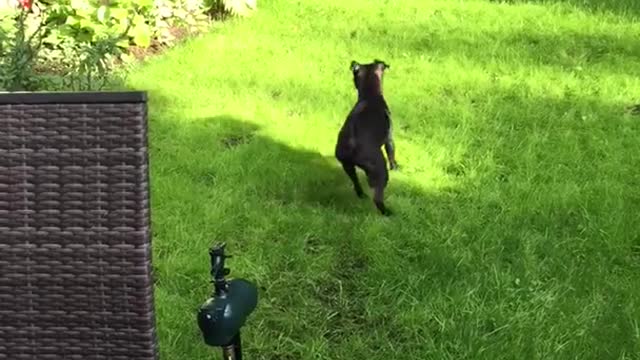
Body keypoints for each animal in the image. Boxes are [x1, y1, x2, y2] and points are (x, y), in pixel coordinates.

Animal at [338, 59, 398, 217]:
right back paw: (387, 213)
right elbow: (392, 154)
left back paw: (361, 195)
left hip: (347, 165)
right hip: (379, 171)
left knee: (355, 182)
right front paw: (396, 167)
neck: (370, 96)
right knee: (377, 198)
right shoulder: (389, 139)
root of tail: (352, 145)